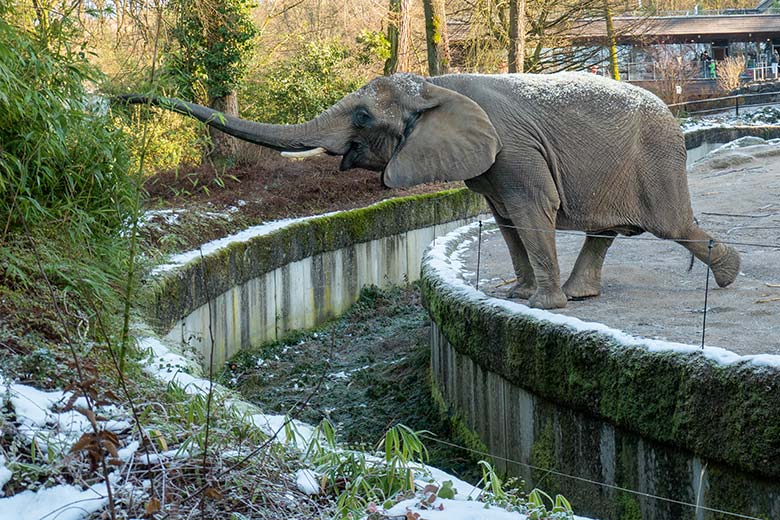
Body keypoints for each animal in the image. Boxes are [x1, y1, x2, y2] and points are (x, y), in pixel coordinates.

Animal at [120, 72, 736, 308]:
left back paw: (728, 276)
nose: (118, 98)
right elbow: (504, 216)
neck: (434, 83)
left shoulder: (515, 151)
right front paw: (514, 293)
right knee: (606, 229)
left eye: (362, 116)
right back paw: (583, 296)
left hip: (656, 162)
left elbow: (530, 209)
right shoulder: (492, 163)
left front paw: (539, 305)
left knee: (674, 227)